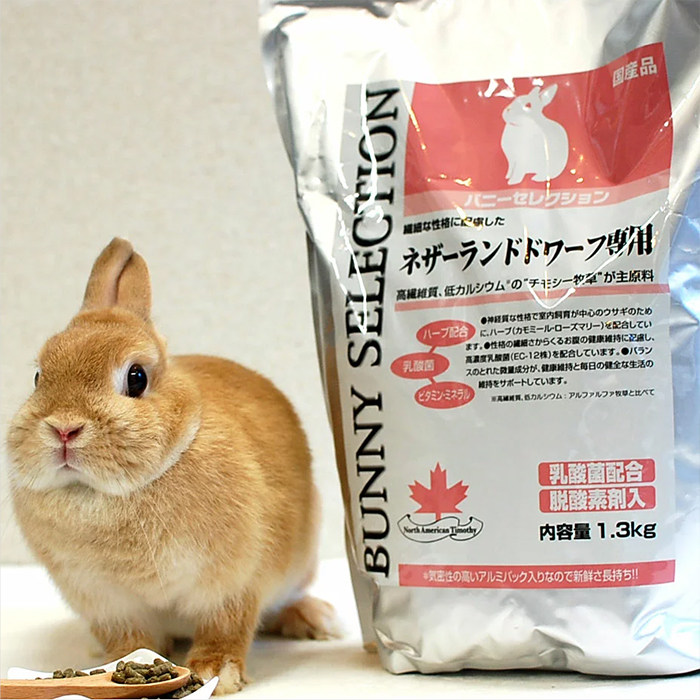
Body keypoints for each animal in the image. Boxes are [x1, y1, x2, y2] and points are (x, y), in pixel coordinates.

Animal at [6, 238, 339, 695]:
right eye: (39, 378)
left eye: (137, 378)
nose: (64, 428)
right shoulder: (106, 602)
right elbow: (130, 641)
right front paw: (118, 665)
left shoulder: (232, 585)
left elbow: (226, 627)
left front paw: (217, 672)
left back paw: (316, 620)